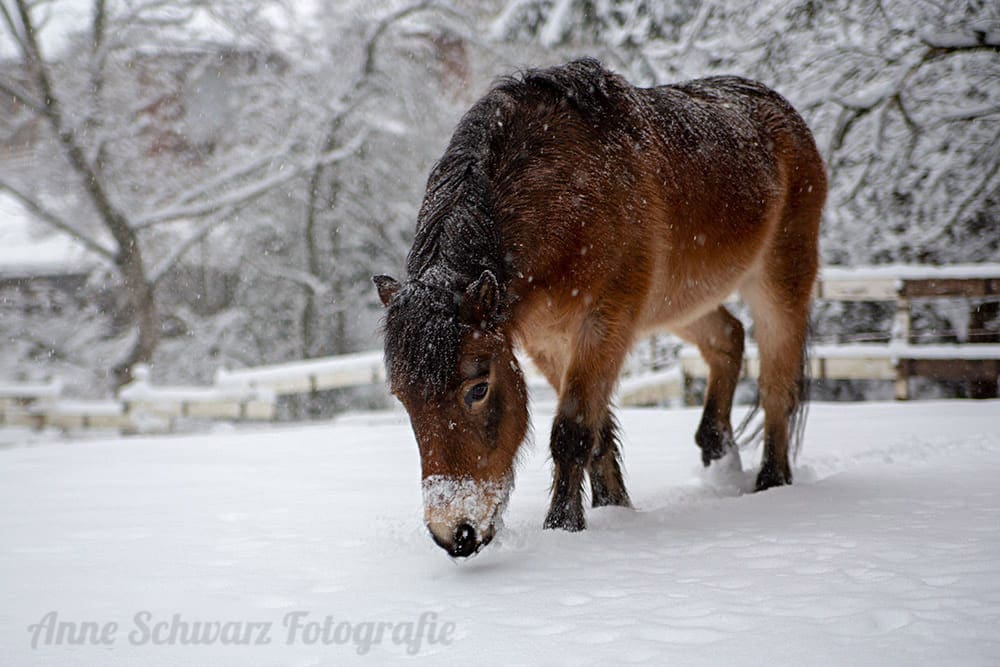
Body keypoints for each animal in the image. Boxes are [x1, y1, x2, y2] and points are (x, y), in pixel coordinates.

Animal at [373, 58, 826, 558]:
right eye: (403, 398)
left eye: (478, 388)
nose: (455, 534)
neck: (565, 191)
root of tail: (782, 112)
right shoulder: (548, 341)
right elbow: (598, 433)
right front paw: (615, 509)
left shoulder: (604, 323)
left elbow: (572, 431)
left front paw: (564, 528)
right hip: (680, 305)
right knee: (728, 339)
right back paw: (717, 450)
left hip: (780, 282)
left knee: (776, 386)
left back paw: (771, 482)